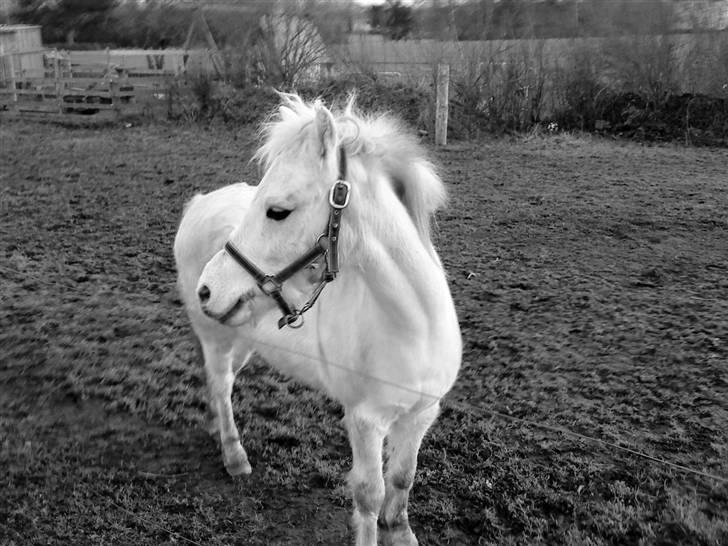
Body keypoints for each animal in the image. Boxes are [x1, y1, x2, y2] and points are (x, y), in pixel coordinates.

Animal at [173, 93, 462, 546]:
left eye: (277, 211)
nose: (208, 289)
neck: (415, 328)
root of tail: (200, 202)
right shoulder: (365, 421)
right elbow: (370, 494)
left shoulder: (422, 414)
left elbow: (402, 478)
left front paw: (401, 532)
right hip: (216, 338)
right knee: (220, 386)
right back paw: (235, 457)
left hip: (243, 341)